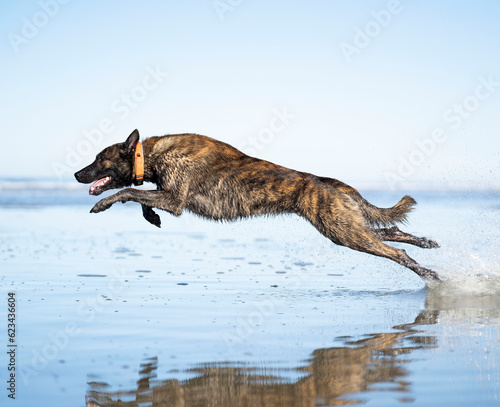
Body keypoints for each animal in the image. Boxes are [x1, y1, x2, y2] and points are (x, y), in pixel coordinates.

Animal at [76, 130, 440, 280]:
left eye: (98, 159)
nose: (77, 174)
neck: (149, 154)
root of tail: (330, 182)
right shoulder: (167, 195)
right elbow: (139, 197)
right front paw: (151, 217)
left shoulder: (174, 199)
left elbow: (127, 192)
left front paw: (104, 205)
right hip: (346, 227)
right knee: (390, 230)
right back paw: (425, 242)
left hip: (343, 231)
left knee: (395, 250)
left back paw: (429, 273)